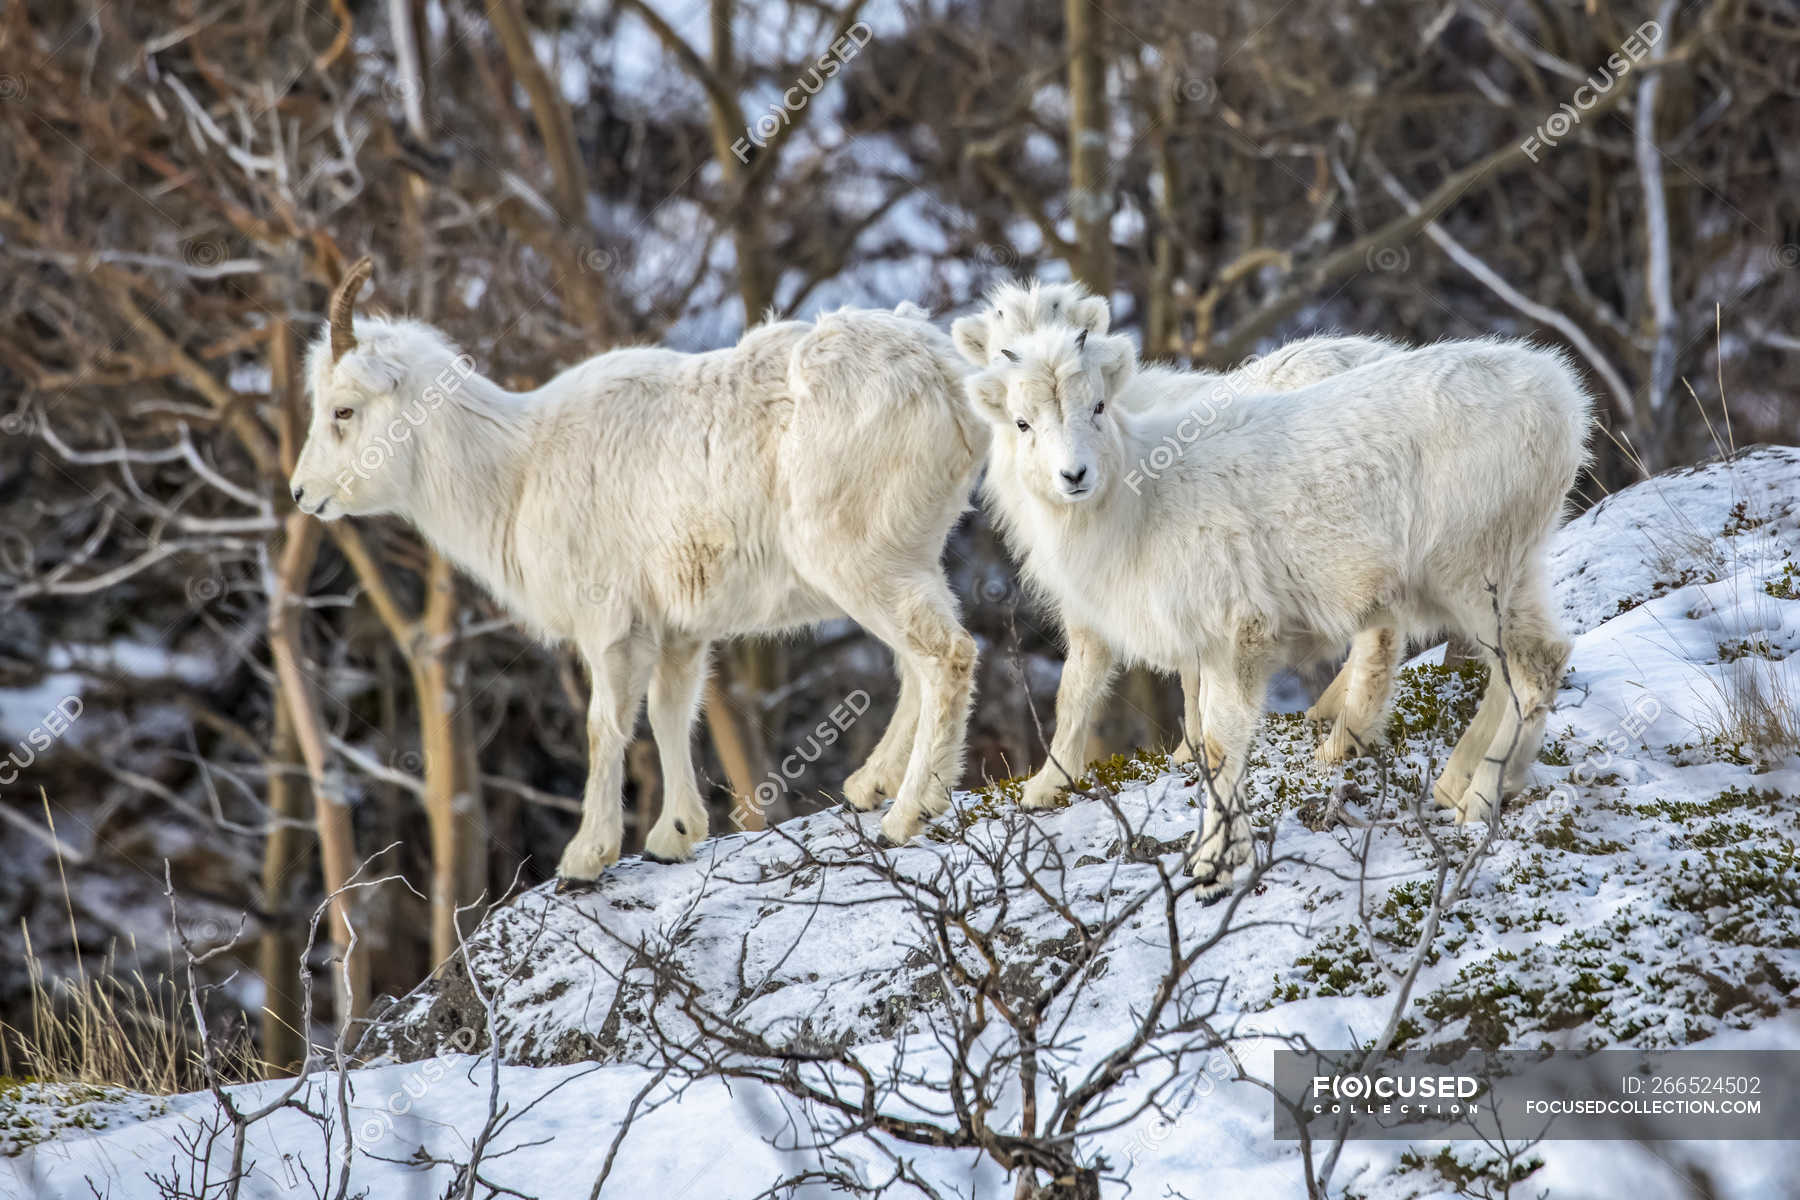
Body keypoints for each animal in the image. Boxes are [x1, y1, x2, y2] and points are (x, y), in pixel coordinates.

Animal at [291, 260, 986, 881]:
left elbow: (605, 727)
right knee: (914, 665)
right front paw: (672, 838)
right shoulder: (678, 632)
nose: (302, 493)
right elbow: (669, 713)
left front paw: (585, 859)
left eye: (343, 411)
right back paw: (870, 788)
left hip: (859, 563)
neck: (519, 471)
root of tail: (946, 378)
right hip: (903, 562)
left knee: (944, 656)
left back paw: (908, 814)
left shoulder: (611, 626)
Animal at [972, 325, 1591, 892]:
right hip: (1507, 574)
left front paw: (1214, 866)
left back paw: (1478, 801)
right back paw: (1462, 785)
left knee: (1534, 667)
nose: (1073, 476)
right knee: (1522, 669)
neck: (1140, 503)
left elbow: (1221, 745)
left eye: (1098, 406)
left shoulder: (1236, 639)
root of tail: (1560, 397)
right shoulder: (1201, 650)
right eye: (1022, 423)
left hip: (1476, 574)